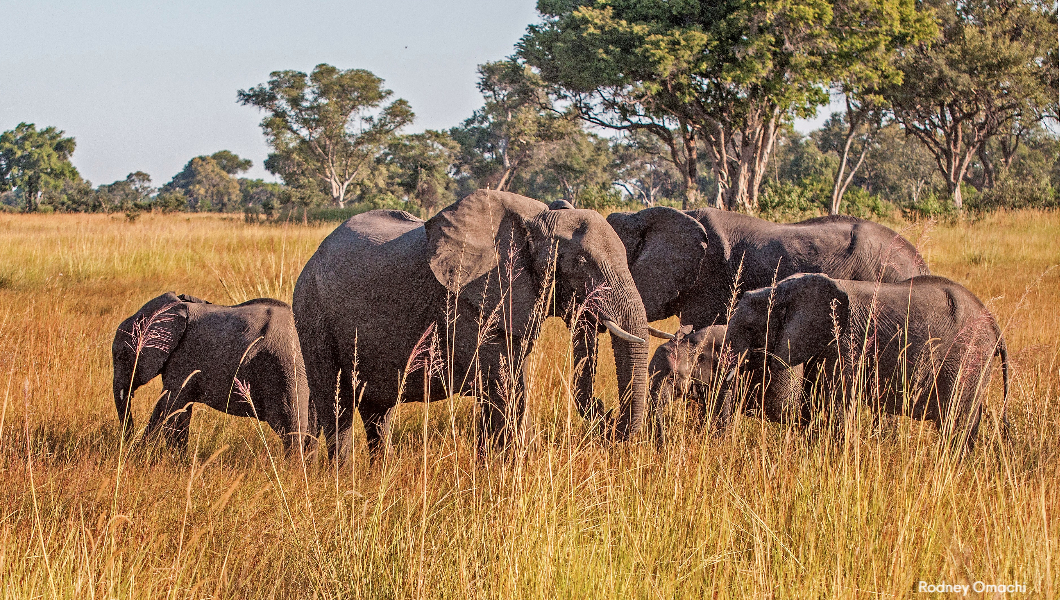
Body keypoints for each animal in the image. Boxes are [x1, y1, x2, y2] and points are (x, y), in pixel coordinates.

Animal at [111, 292, 309, 455]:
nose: (127, 441)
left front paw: (140, 456)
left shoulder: (182, 359)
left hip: (287, 370)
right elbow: (176, 411)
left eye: (120, 356)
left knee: (292, 431)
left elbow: (170, 406)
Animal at [294, 190, 648, 464]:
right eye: (581, 262)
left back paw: (380, 474)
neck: (536, 221)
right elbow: (502, 388)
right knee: (335, 403)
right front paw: (502, 472)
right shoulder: (468, 304)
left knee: (377, 411)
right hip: (312, 313)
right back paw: (344, 478)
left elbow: (514, 387)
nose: (607, 411)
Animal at [720, 273, 1009, 455]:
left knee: (955, 423)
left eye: (750, 328)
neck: (781, 289)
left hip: (968, 357)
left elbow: (831, 409)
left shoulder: (843, 344)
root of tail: (995, 326)